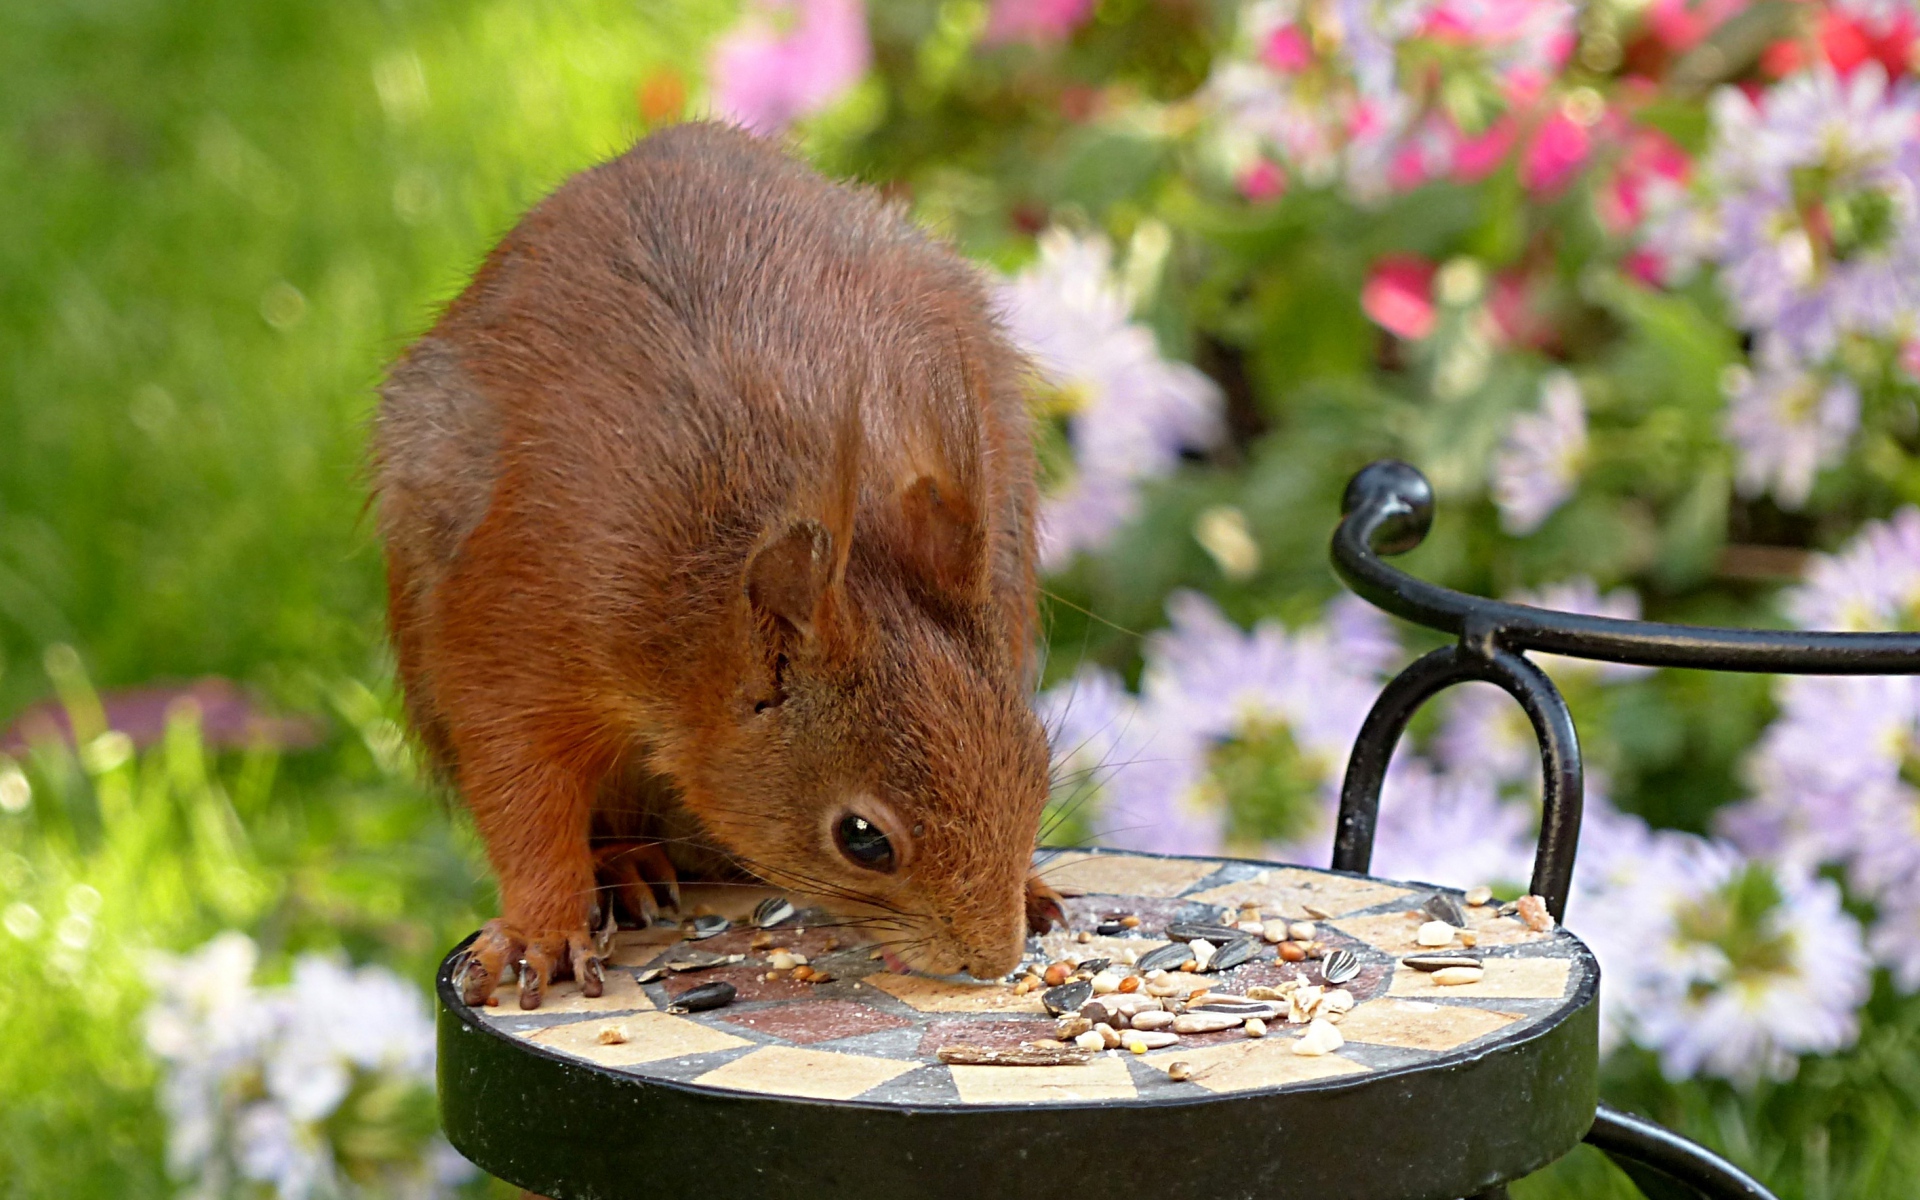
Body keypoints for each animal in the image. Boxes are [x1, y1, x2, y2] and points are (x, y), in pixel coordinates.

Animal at [372, 123, 1066, 1010]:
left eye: (1039, 766)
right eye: (863, 839)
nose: (990, 959)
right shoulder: (521, 617)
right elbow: (520, 784)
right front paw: (541, 928)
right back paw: (627, 866)